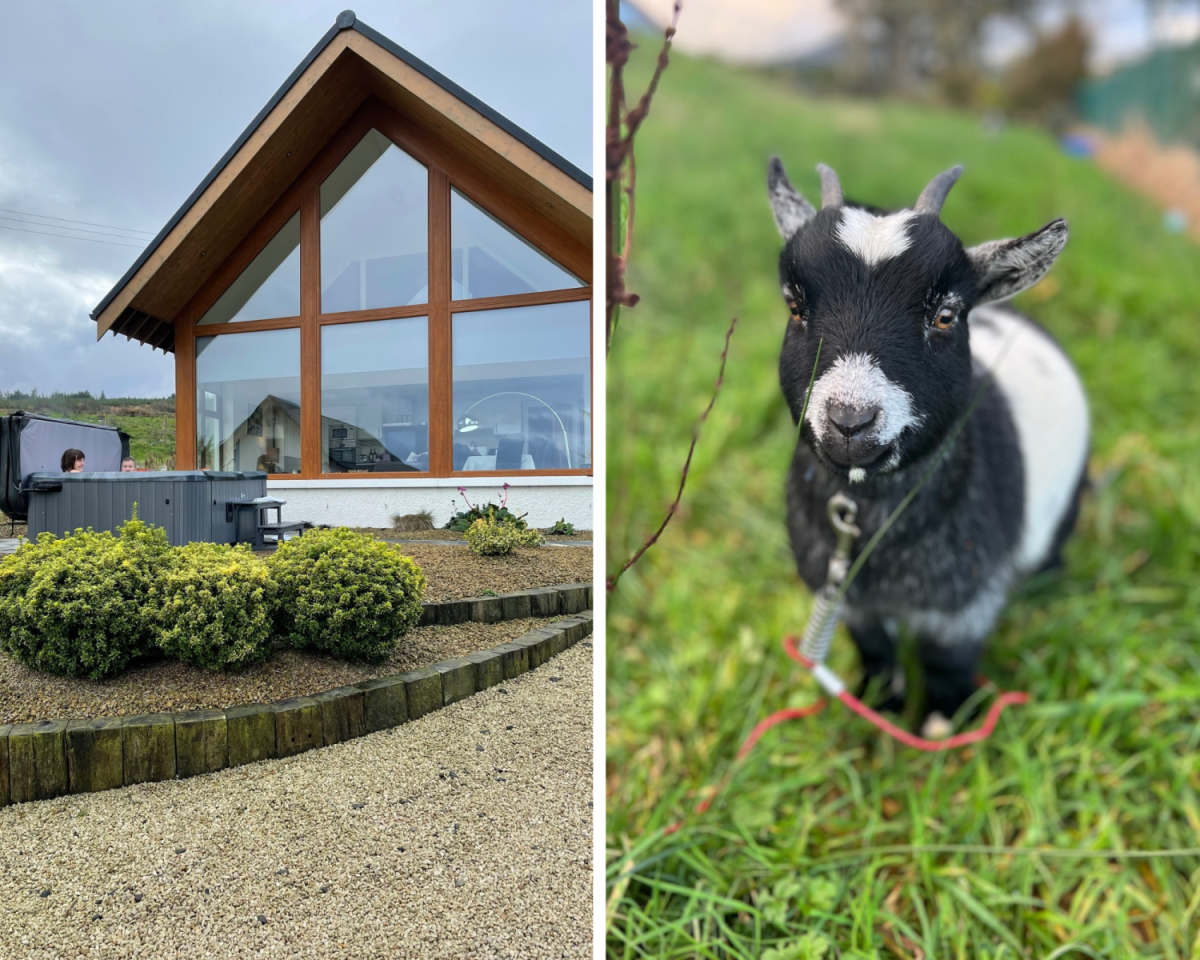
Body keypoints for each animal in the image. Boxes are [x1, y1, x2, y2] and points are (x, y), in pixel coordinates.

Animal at [767, 158, 1089, 737]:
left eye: (945, 315)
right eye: (794, 305)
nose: (850, 420)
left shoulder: (964, 606)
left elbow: (947, 662)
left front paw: (944, 724)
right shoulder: (849, 602)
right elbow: (874, 649)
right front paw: (881, 704)